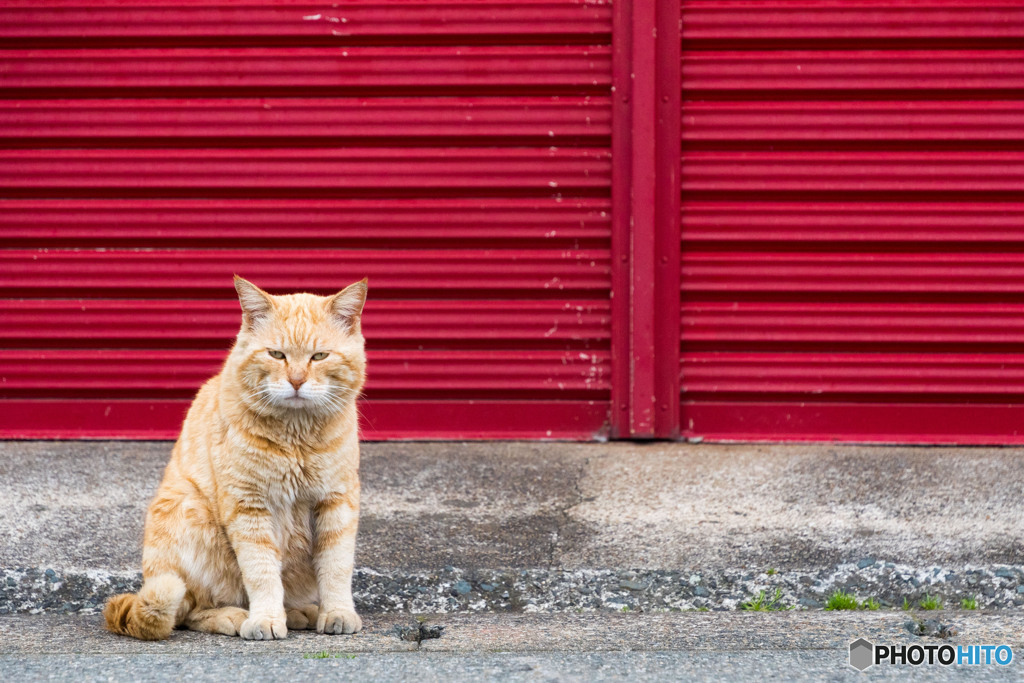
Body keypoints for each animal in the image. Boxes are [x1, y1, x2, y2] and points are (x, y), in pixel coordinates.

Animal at [102, 274, 368, 638]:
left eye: (319, 356)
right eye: (277, 354)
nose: (296, 381)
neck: (296, 436)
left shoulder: (337, 501)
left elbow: (336, 567)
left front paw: (337, 612)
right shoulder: (249, 505)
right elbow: (261, 571)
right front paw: (266, 619)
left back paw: (300, 612)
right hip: (190, 514)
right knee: (188, 612)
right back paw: (236, 617)